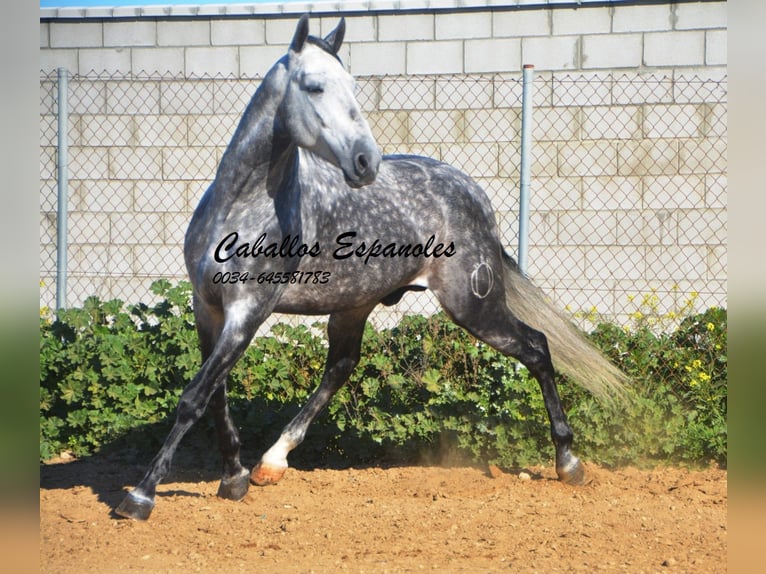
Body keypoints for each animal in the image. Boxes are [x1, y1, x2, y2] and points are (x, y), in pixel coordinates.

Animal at [115, 16, 632, 520]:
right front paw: (234, 479)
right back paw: (271, 463)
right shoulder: (209, 308)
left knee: (538, 348)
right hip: (356, 306)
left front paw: (139, 497)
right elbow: (214, 394)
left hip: (473, 305)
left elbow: (193, 398)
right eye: (314, 86)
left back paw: (569, 463)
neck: (241, 206)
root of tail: (474, 194)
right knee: (341, 368)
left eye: (353, 85)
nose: (366, 161)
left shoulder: (250, 309)